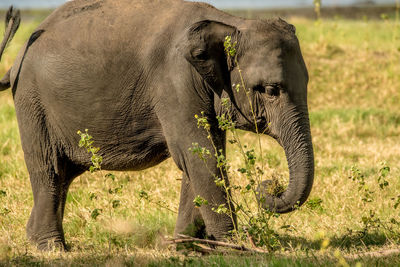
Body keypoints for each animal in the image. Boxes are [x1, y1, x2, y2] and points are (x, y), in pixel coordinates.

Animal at [0, 0, 312, 251]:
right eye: (271, 90)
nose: (270, 186)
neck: (229, 23)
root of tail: (16, 61)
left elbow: (202, 155)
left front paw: (189, 247)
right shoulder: (174, 80)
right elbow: (199, 155)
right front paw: (234, 247)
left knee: (62, 174)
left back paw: (35, 239)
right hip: (32, 101)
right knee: (48, 169)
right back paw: (51, 248)